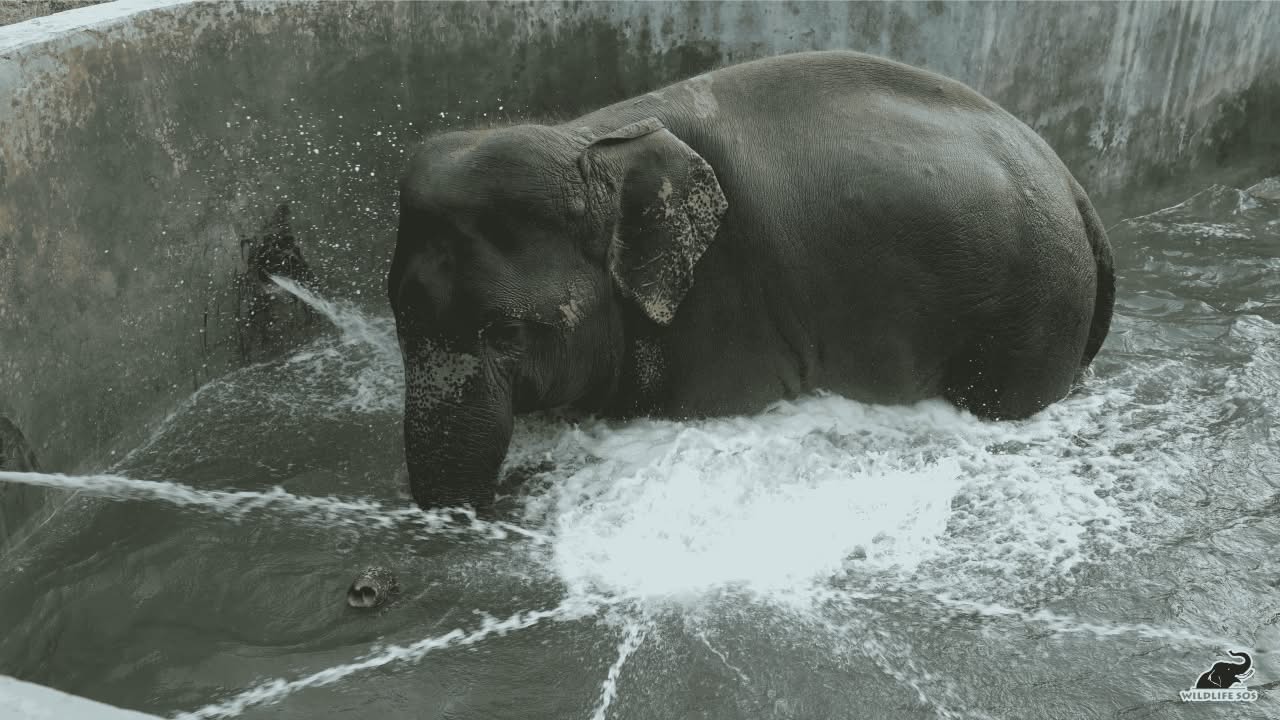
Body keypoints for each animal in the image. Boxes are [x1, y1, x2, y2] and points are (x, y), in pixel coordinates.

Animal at [387, 50, 1115, 511]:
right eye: (397, 320)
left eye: (507, 332)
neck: (590, 137)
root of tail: (1075, 187)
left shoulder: (726, 309)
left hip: (1030, 314)